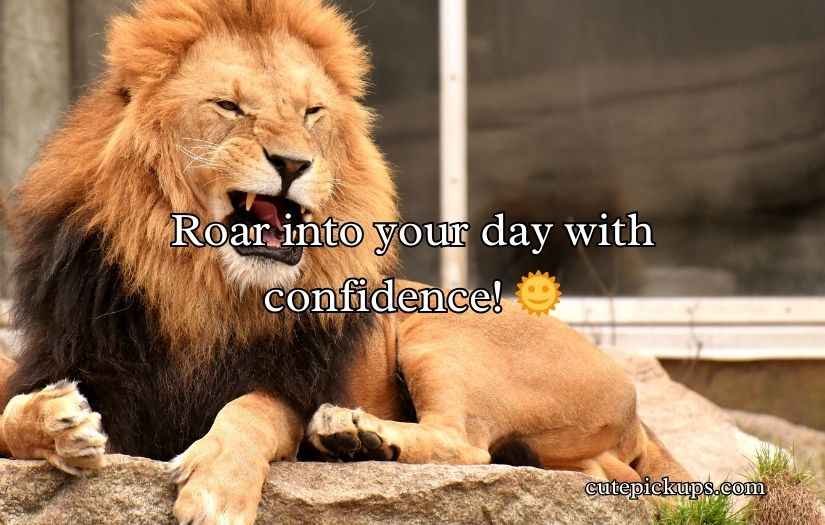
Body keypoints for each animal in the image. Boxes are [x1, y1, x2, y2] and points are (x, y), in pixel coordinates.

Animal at [0, 0, 691, 523]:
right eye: (229, 107)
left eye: (312, 112)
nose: (292, 163)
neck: (197, 289)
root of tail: (635, 405)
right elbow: (10, 414)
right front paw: (58, 422)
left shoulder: (290, 384)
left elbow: (249, 410)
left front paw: (217, 488)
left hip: (439, 328)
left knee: (467, 445)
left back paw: (354, 433)